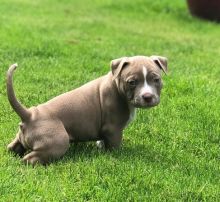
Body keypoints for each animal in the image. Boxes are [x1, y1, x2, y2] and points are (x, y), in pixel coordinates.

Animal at [7, 54, 168, 164]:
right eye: (132, 82)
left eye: (156, 79)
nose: (147, 96)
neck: (116, 85)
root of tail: (30, 114)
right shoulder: (113, 128)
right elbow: (114, 145)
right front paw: (118, 154)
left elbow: (102, 140)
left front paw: (100, 147)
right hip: (57, 141)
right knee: (30, 159)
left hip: (20, 138)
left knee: (13, 147)